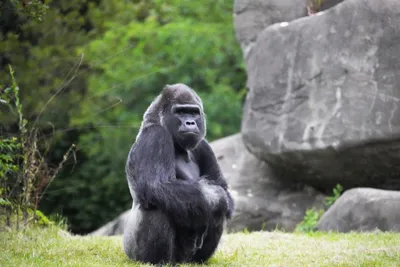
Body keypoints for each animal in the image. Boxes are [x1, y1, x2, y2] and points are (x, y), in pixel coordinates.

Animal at [122, 84, 234, 266]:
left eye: (194, 112)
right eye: (180, 112)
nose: (190, 122)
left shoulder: (204, 145)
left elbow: (222, 186)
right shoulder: (155, 135)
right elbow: (158, 186)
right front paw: (216, 196)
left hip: (187, 259)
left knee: (218, 212)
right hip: (134, 253)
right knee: (158, 203)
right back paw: (158, 261)